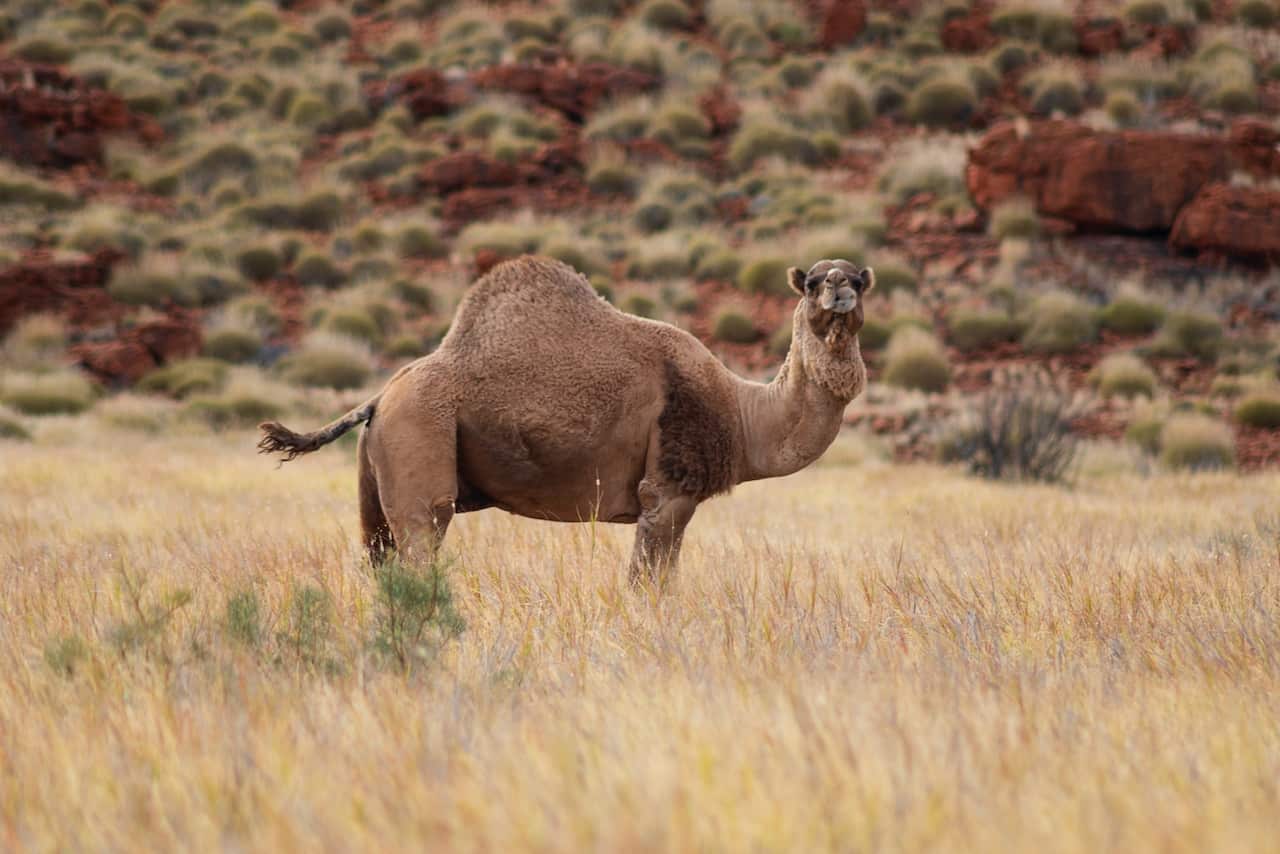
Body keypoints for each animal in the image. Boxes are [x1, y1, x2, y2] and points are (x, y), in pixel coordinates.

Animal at [259, 256, 874, 582]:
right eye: (813, 280)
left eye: (858, 280)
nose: (839, 290)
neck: (744, 416)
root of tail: (381, 397)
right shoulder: (668, 494)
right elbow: (649, 585)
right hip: (421, 443)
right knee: (420, 545)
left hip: (374, 478)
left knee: (377, 556)